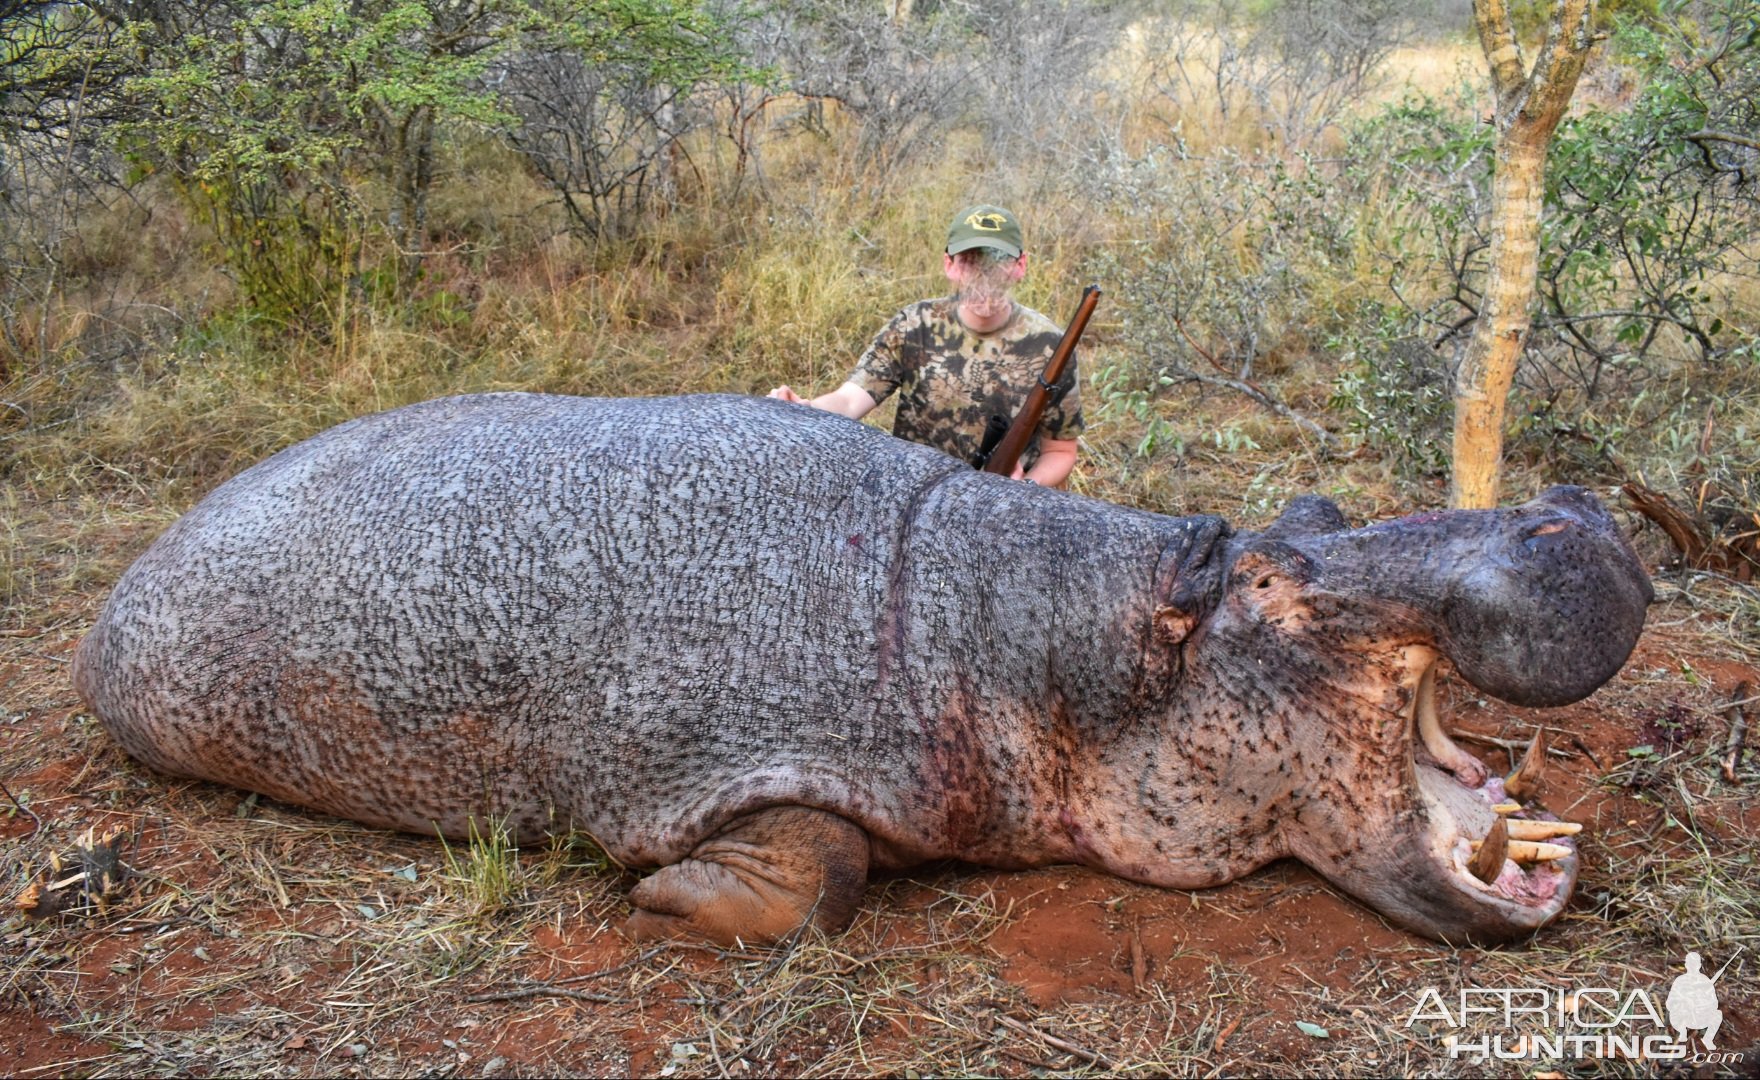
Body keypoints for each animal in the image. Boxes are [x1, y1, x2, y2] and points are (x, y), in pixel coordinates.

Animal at [75, 395, 1647, 949]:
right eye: (1271, 576)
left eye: (1318, 506)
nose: (1560, 512)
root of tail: (127, 580)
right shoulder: (723, 757)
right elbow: (817, 873)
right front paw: (673, 895)